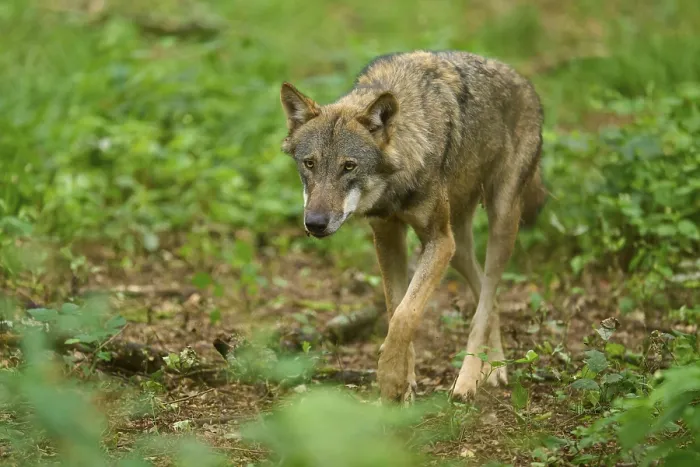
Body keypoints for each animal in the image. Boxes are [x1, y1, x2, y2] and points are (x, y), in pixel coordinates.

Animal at [278, 50, 547, 403]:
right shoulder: (388, 237)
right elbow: (395, 310)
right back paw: (494, 366)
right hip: (458, 249)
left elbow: (406, 315)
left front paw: (391, 380)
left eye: (348, 166)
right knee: (490, 300)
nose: (315, 224)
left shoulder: (438, 242)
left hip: (498, 223)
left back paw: (469, 380)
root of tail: (526, 84)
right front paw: (403, 383)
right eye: (309, 163)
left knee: (487, 298)